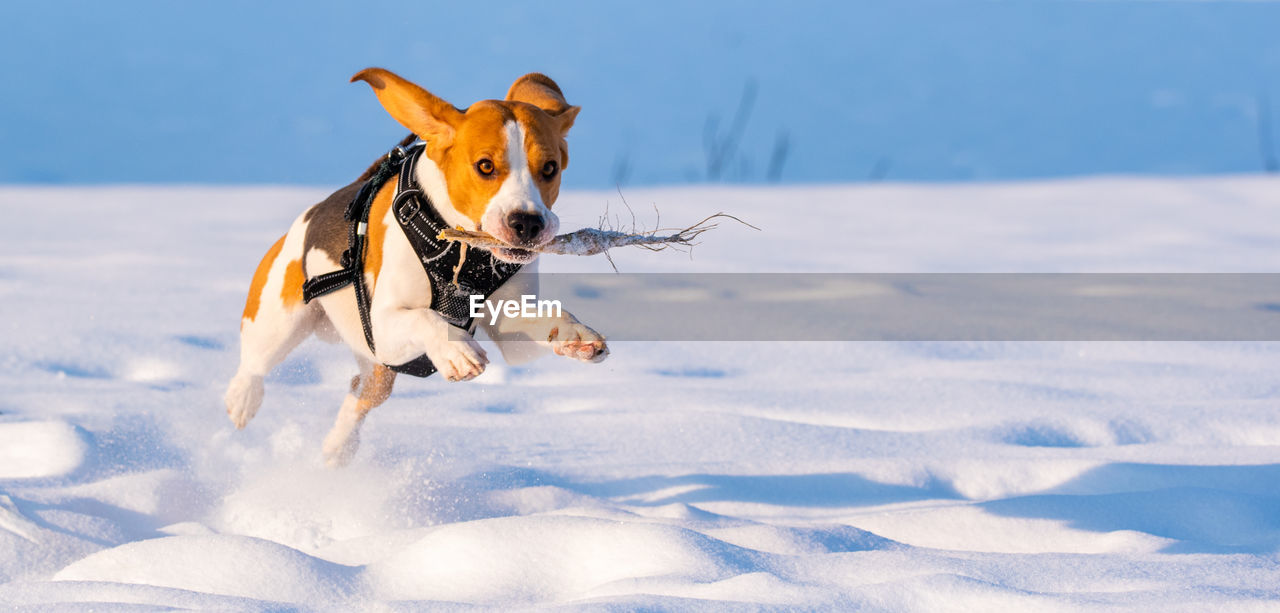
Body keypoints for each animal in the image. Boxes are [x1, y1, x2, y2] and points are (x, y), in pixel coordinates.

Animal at [225, 69, 609, 468]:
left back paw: (338, 447)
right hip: (280, 320)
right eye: (485, 166)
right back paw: (242, 399)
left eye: (550, 168)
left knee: (362, 392)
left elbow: (545, 319)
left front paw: (575, 335)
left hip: (378, 366)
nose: (528, 223)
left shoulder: (509, 323)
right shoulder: (381, 327)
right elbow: (425, 318)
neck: (463, 252)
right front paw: (457, 351)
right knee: (255, 362)